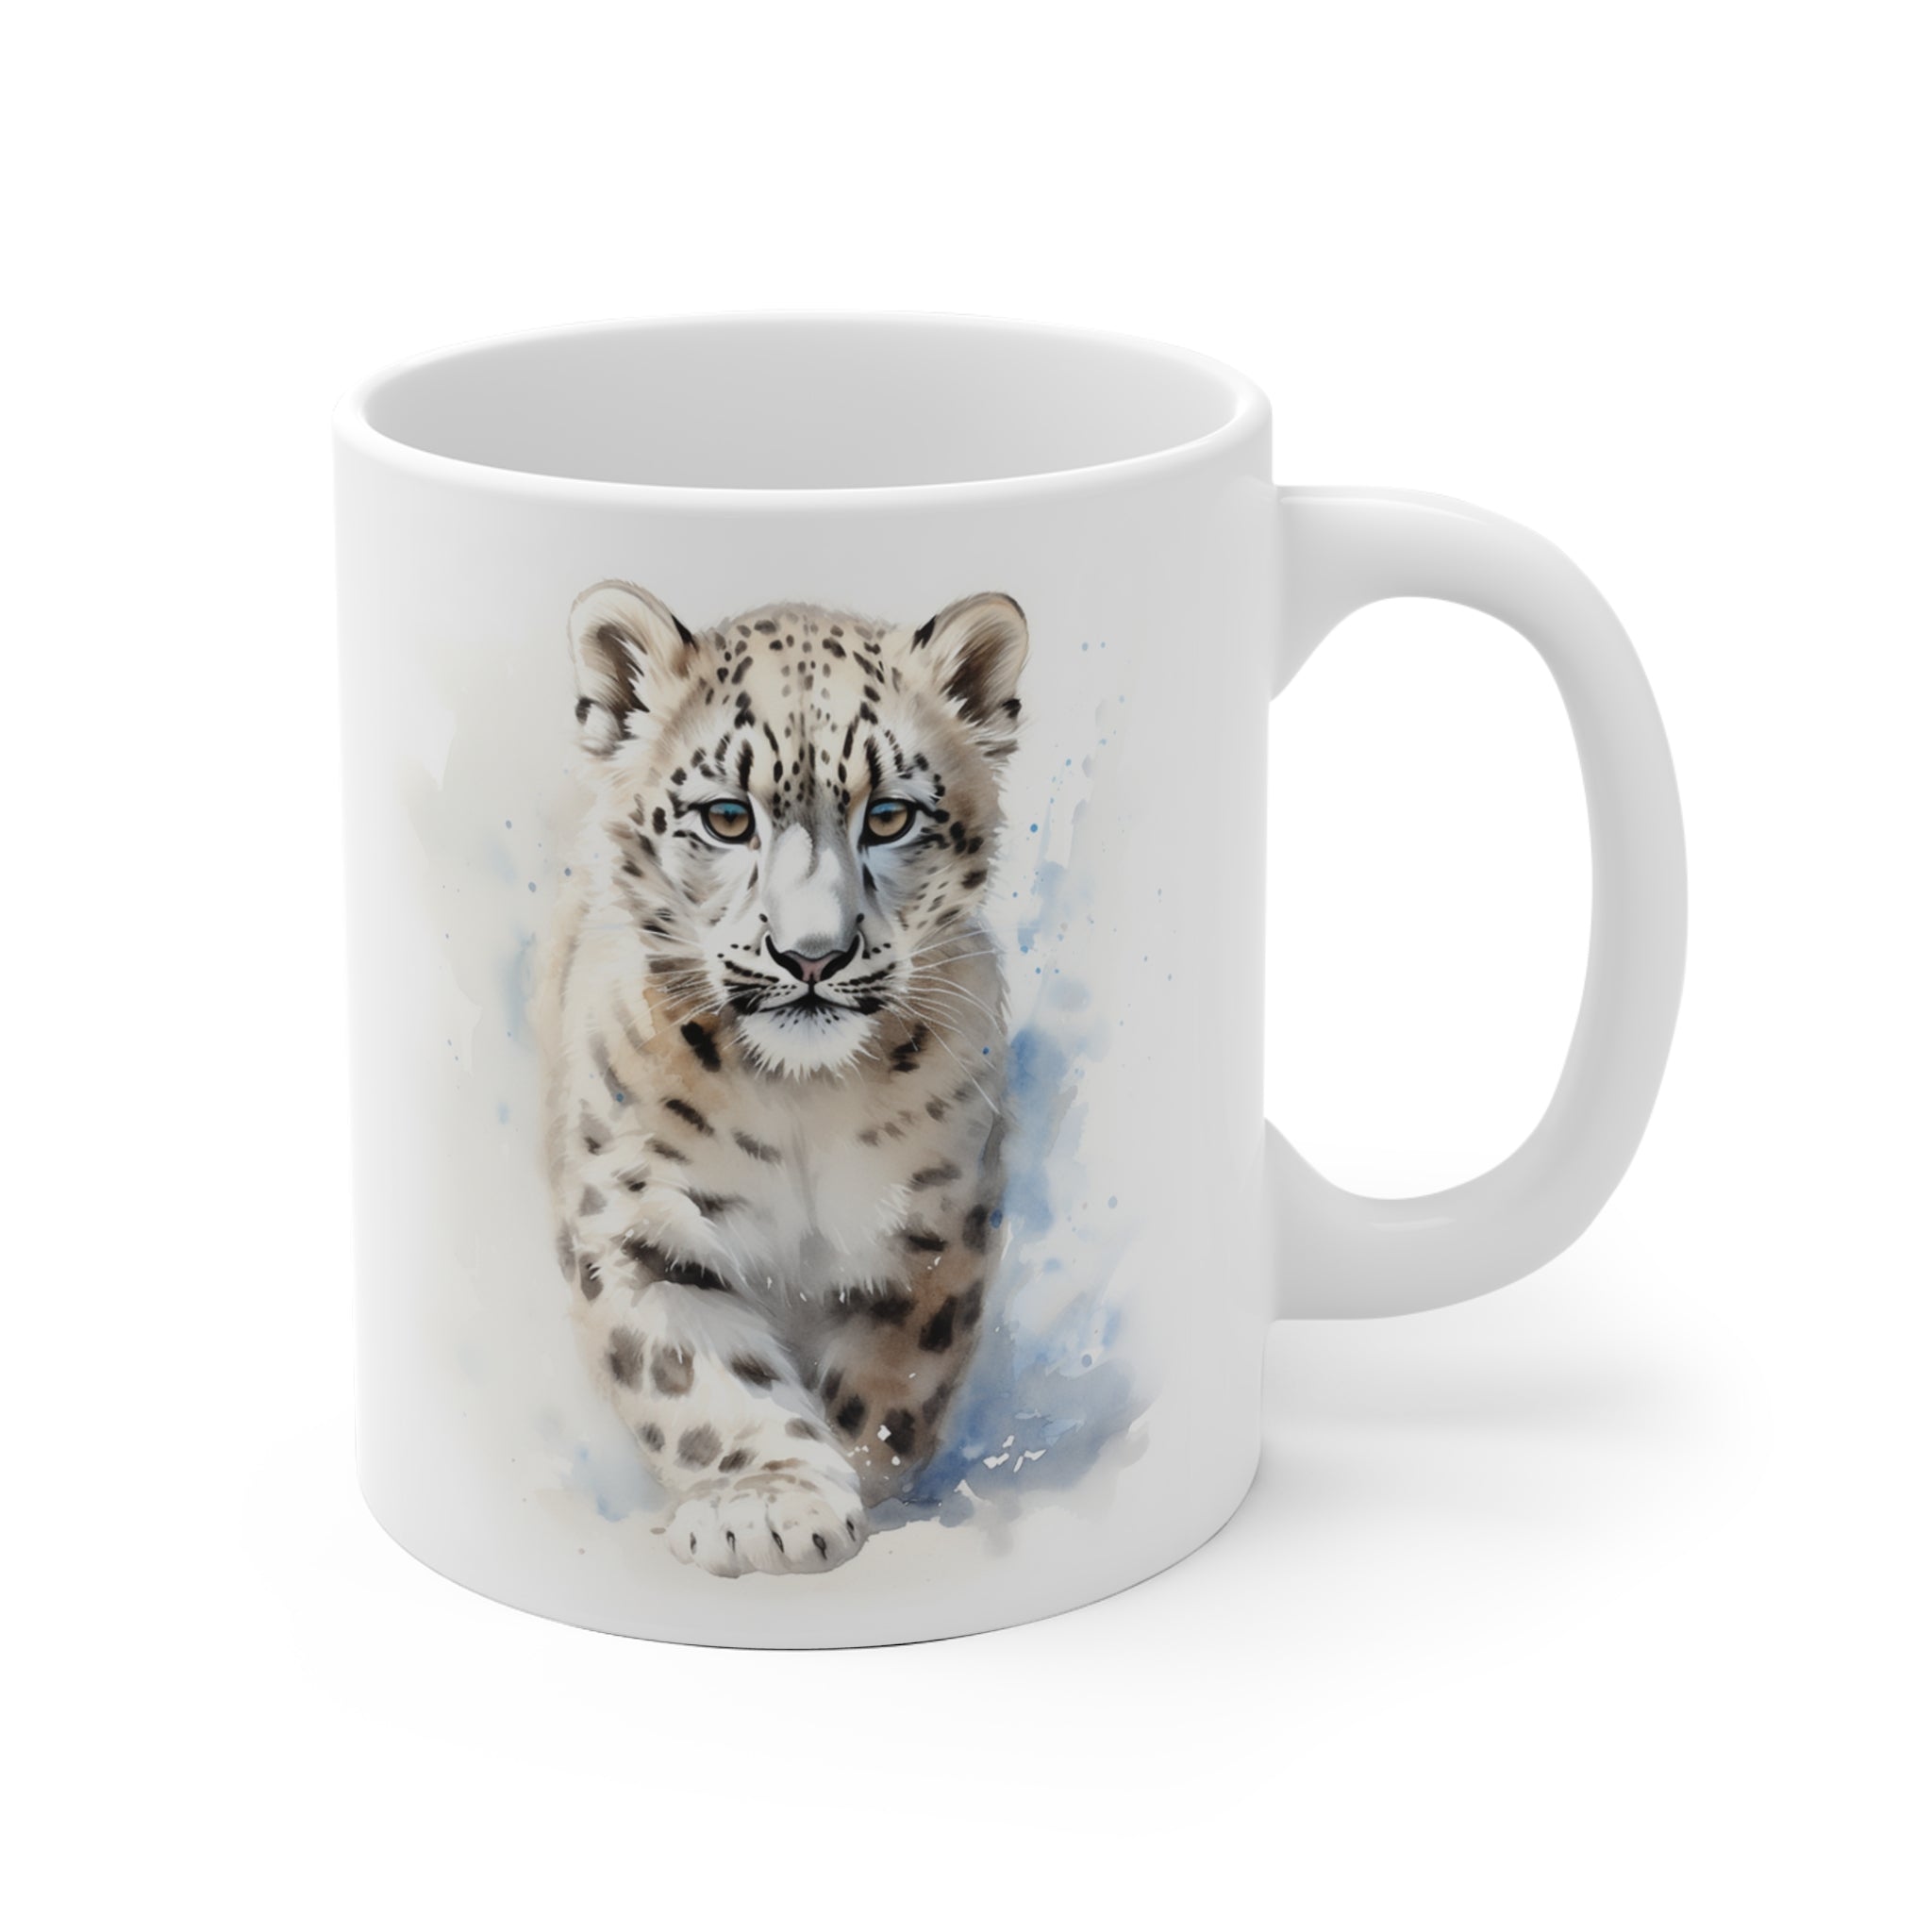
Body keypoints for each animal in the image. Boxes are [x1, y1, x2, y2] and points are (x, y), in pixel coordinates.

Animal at [537, 580, 1028, 1577]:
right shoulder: (638, 1225)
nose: (813, 955)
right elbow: (700, 1385)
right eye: (728, 816)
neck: (805, 1099)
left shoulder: (933, 1226)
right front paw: (768, 1504)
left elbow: (893, 1385)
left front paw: (856, 1484)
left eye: (891, 815)